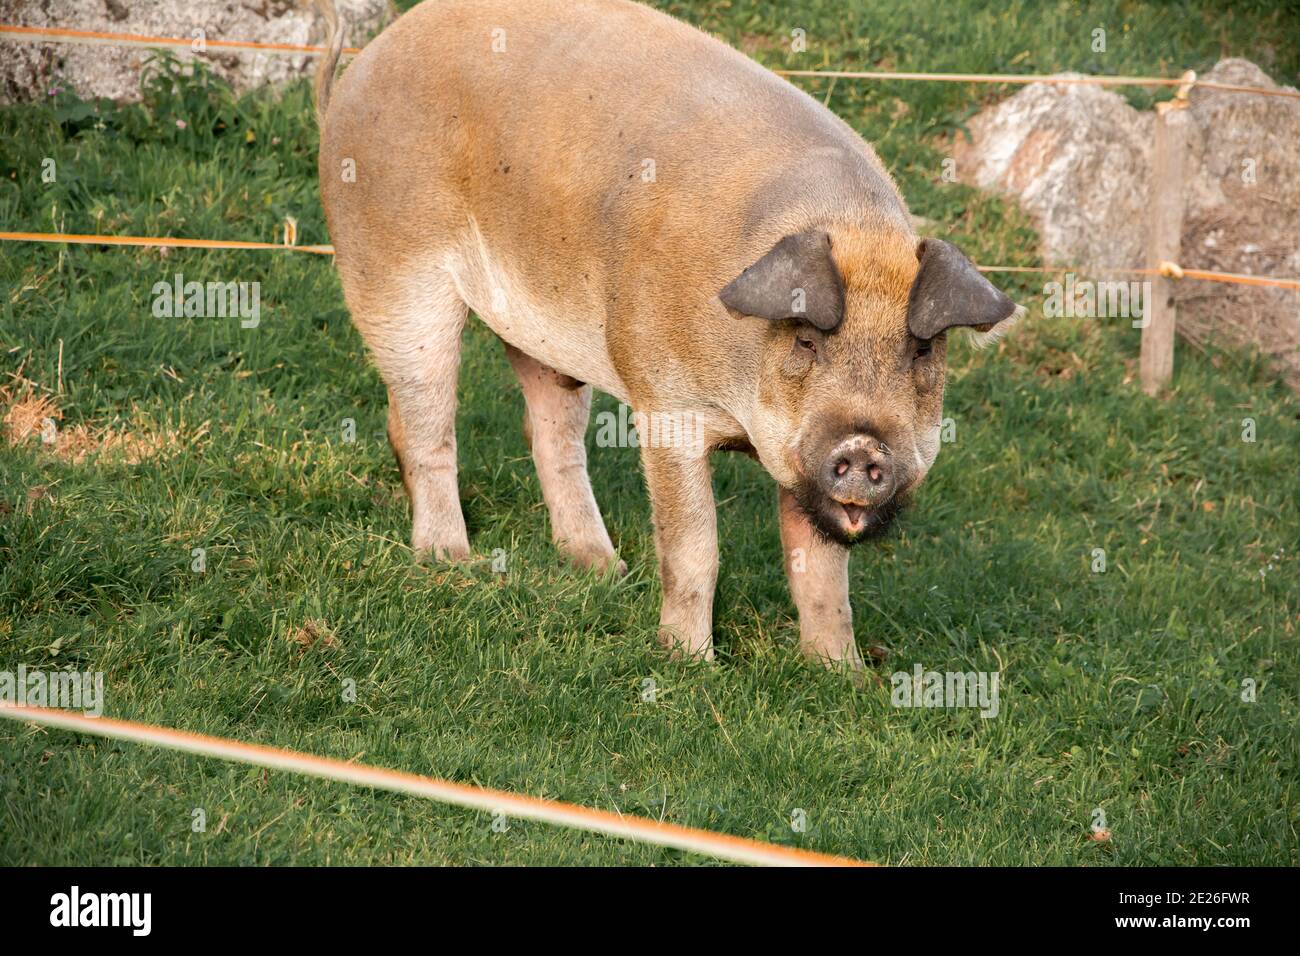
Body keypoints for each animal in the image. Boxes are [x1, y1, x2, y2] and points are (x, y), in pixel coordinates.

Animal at [312, 0, 1013, 671]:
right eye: (807, 342)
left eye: (920, 350)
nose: (865, 445)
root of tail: (362, 66)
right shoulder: (667, 408)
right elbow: (695, 546)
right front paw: (692, 665)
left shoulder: (806, 469)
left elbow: (823, 574)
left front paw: (845, 676)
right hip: (394, 268)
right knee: (427, 419)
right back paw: (451, 560)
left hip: (539, 332)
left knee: (548, 433)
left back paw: (604, 569)